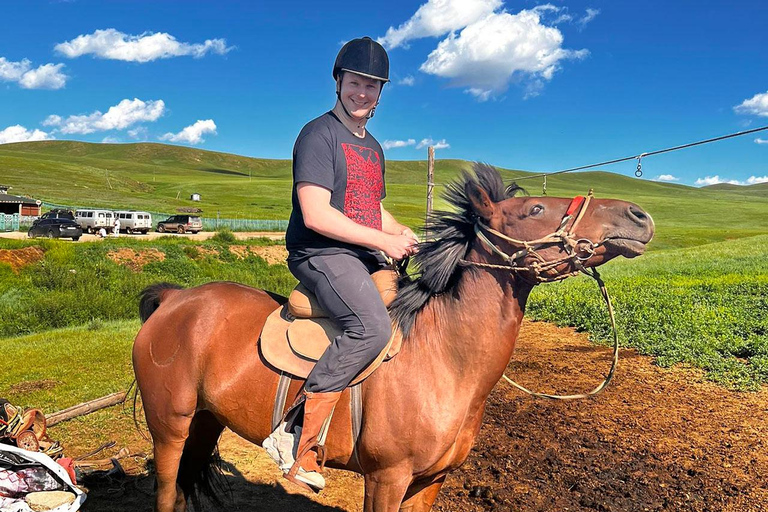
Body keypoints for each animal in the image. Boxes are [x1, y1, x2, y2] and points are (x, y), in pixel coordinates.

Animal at [134, 165, 656, 512]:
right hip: (169, 429)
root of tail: (175, 299)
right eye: (535, 208)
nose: (638, 216)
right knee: (165, 491)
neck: (443, 357)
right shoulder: (387, 478)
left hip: (206, 421)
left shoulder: (430, 480)